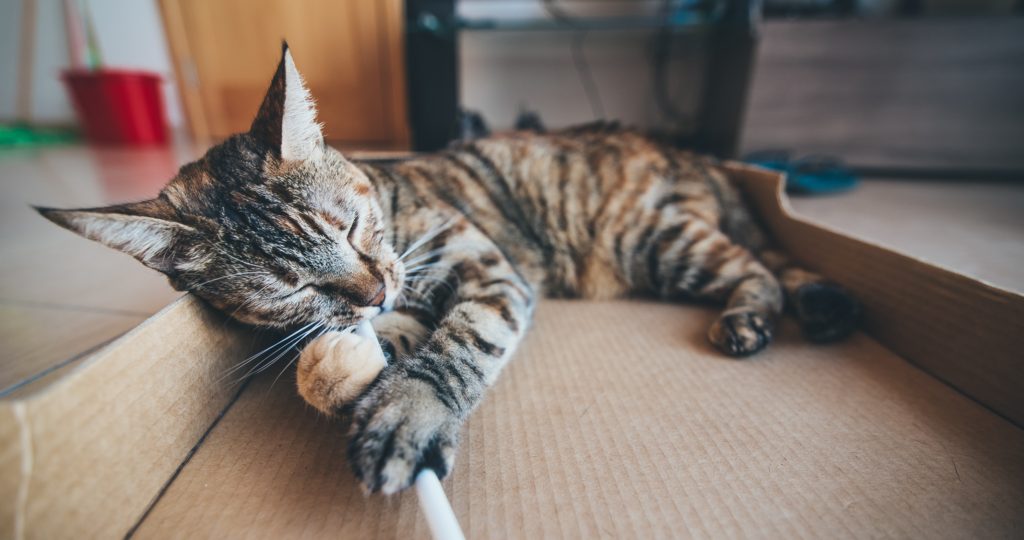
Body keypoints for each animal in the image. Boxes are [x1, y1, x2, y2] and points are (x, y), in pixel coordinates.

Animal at [36, 45, 860, 493]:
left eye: (352, 225)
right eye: (292, 288)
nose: (374, 287)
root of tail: (695, 158)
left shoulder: (487, 272)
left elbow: (458, 345)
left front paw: (410, 411)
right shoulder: (393, 303)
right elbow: (380, 339)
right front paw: (343, 367)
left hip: (650, 238)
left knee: (760, 267)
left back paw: (751, 316)